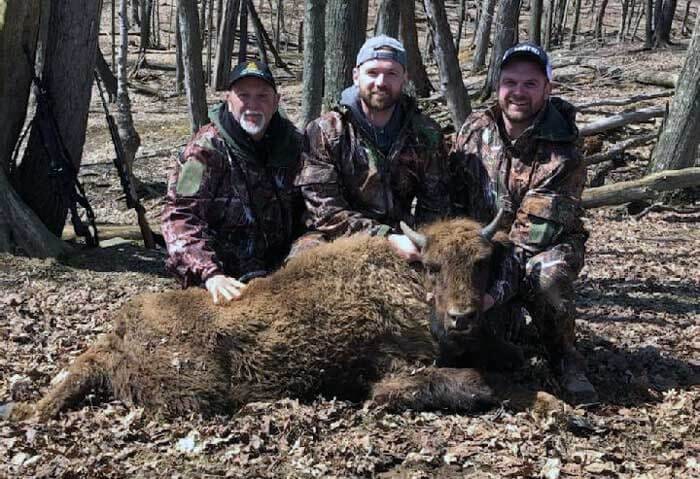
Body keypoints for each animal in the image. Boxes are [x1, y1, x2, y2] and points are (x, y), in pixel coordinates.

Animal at [10, 218, 528, 420]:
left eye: (482, 263)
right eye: (435, 266)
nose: (462, 318)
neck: (405, 280)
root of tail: (116, 333)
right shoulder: (392, 375)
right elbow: (474, 382)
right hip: (199, 392)